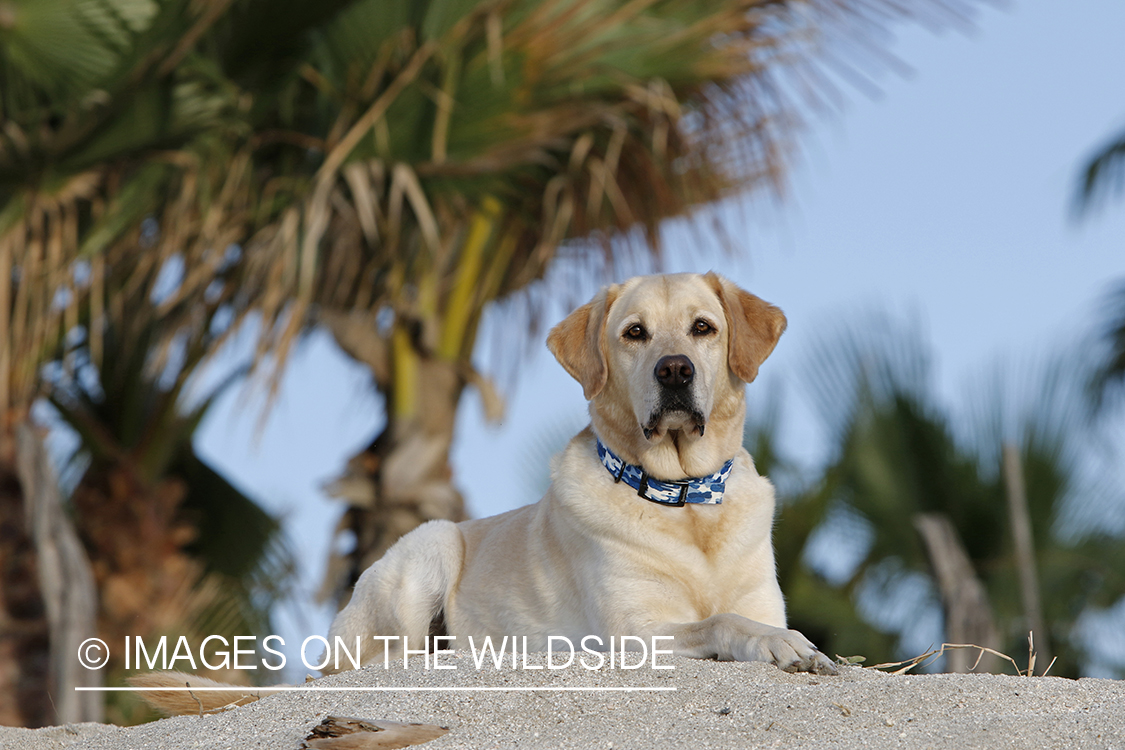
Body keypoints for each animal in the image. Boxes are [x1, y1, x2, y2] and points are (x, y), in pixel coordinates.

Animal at [133, 270, 837, 715]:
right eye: (634, 333)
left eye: (703, 329)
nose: (674, 371)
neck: (684, 501)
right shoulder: (633, 633)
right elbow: (722, 620)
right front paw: (784, 646)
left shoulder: (754, 596)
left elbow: (743, 612)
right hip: (430, 547)